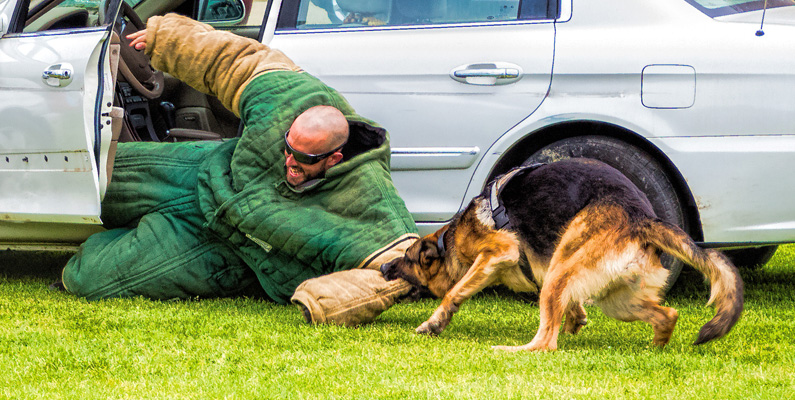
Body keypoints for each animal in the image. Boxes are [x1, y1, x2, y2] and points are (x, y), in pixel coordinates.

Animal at [382, 158, 744, 352]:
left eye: (407, 258)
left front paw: (435, 321)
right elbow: (573, 309)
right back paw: (654, 348)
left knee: (546, 342)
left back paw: (510, 350)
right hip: (615, 300)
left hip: (561, 272)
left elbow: (455, 292)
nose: (384, 267)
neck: (452, 237)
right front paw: (575, 317)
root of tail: (641, 218)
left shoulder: (498, 251)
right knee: (668, 314)